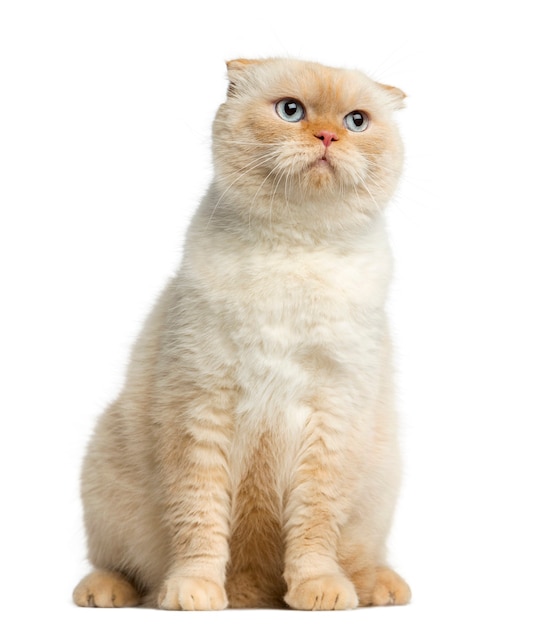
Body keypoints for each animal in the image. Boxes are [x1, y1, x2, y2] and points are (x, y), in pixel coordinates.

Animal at [72, 56, 410, 608]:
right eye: (291, 111)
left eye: (356, 121)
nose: (327, 136)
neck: (294, 250)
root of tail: (257, 592)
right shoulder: (201, 407)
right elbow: (199, 521)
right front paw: (195, 592)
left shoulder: (332, 416)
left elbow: (315, 529)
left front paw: (318, 590)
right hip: (105, 474)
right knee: (121, 564)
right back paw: (108, 592)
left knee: (359, 557)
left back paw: (379, 587)